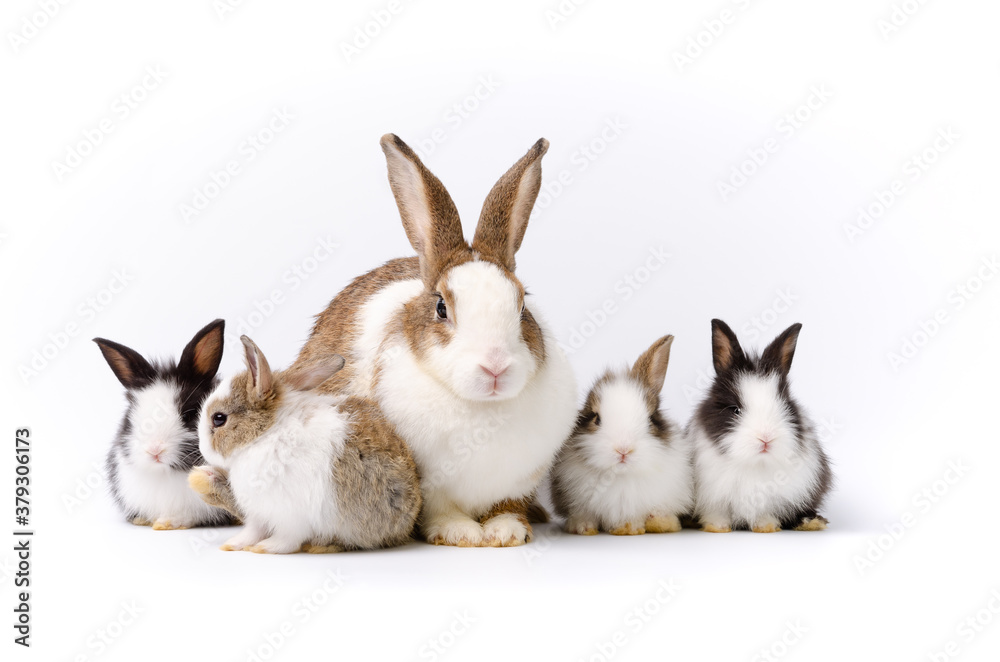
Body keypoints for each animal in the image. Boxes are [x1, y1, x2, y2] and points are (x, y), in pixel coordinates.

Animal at [94, 319, 233, 530]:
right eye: (131, 416)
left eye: (190, 414)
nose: (155, 450)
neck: (166, 474)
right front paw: (143, 520)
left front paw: (168, 523)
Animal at [189, 335, 422, 553]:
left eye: (219, 418)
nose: (203, 450)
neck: (265, 434)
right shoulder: (258, 512)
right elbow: (254, 530)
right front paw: (234, 544)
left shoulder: (291, 514)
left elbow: (287, 539)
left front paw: (266, 548)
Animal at [289, 134, 577, 548]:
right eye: (441, 308)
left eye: (522, 304)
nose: (495, 367)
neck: (482, 409)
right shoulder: (430, 482)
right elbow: (440, 510)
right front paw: (461, 533)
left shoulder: (519, 481)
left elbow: (507, 506)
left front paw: (505, 532)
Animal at [551, 335, 693, 536]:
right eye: (596, 418)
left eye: (650, 419)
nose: (623, 449)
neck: (621, 477)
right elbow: (582, 514)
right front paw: (583, 527)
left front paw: (650, 523)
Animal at [688, 319, 833, 533]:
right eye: (735, 410)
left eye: (785, 405)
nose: (766, 438)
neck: (755, 464)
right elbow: (717, 512)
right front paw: (718, 527)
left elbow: (766, 512)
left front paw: (766, 526)